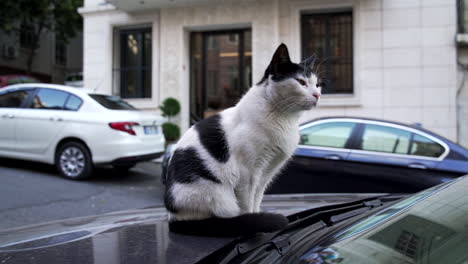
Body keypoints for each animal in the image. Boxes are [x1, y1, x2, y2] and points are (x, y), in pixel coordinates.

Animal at [165, 43, 322, 237]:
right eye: (301, 82)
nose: (317, 95)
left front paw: (257, 218)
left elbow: (256, 200)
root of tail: (173, 218)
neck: (284, 118)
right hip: (216, 194)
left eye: (317, 84)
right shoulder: (247, 173)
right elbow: (247, 205)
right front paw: (255, 225)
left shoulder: (266, 173)